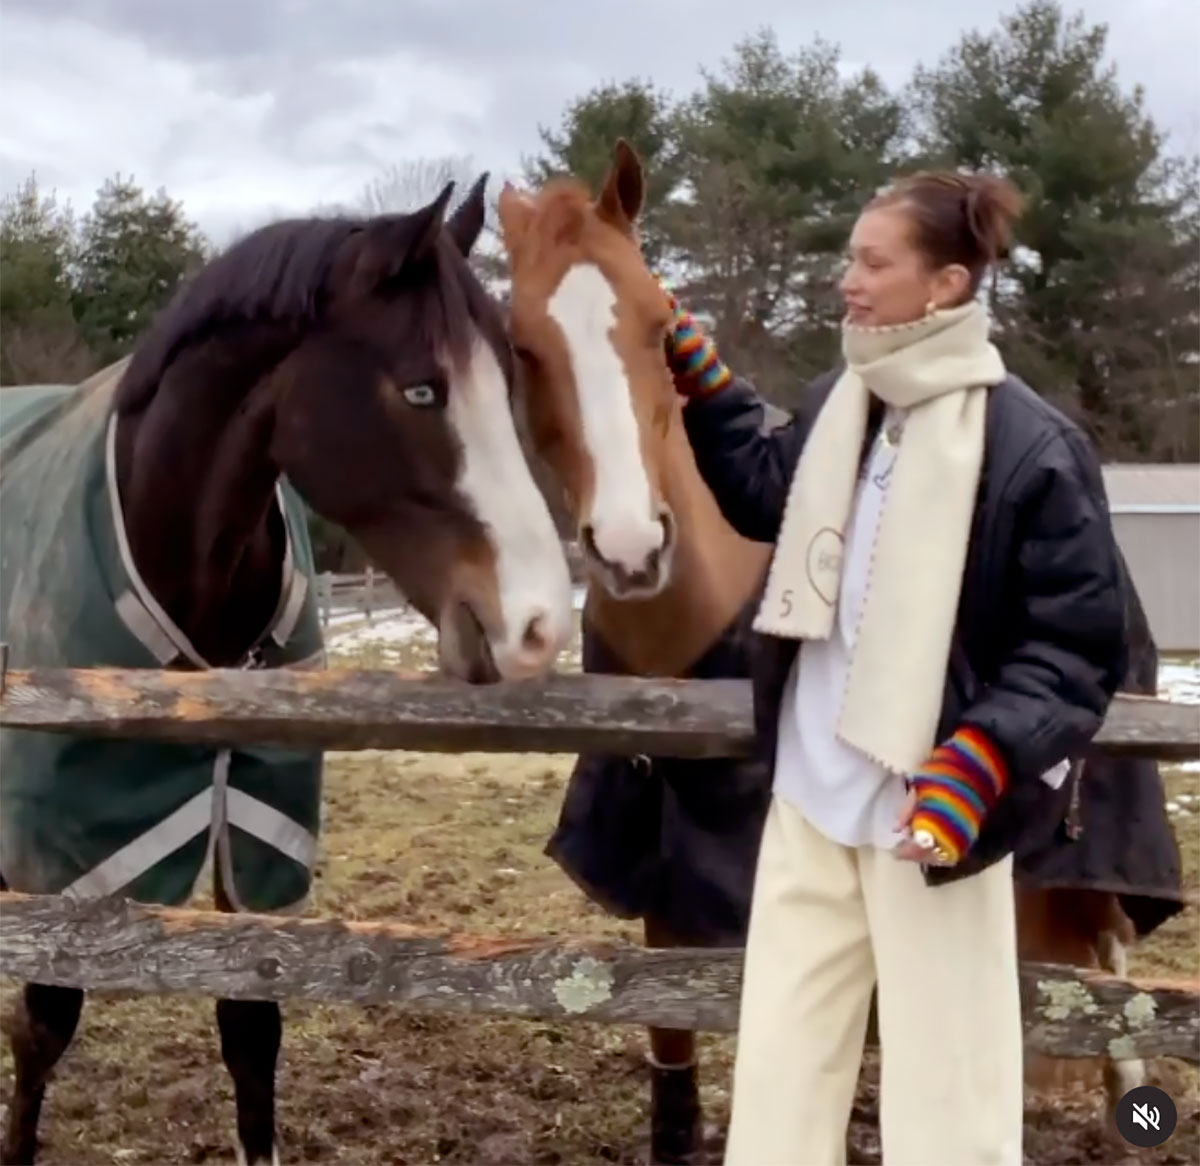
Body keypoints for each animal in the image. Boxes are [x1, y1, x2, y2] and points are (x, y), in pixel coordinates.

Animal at [0, 175, 576, 1166]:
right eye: (421, 389)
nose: (539, 625)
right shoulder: (62, 855)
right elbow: (44, 1014)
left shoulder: (258, 832)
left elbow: (252, 1021)